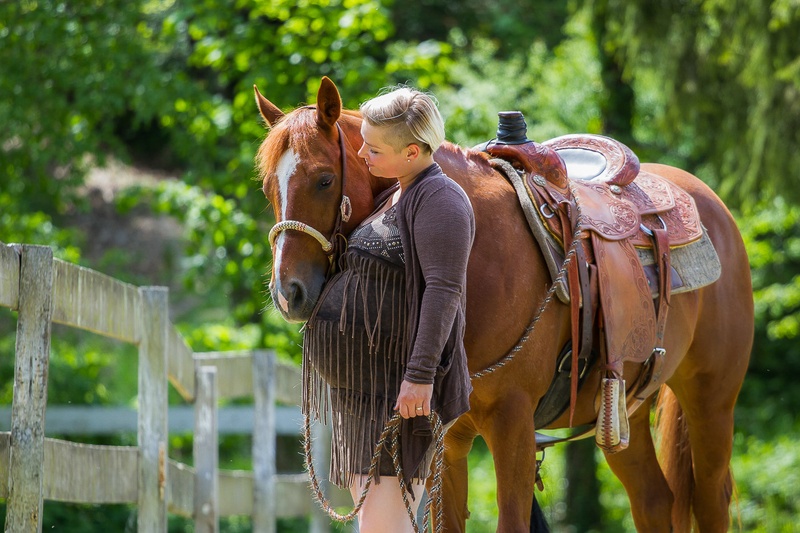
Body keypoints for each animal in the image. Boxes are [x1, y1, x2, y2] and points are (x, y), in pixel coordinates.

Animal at [253, 76, 753, 532]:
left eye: (324, 179)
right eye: (268, 187)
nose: (288, 292)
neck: (478, 256)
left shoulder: (512, 424)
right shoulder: (448, 441)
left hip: (711, 400)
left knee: (710, 501)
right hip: (624, 412)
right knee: (654, 501)